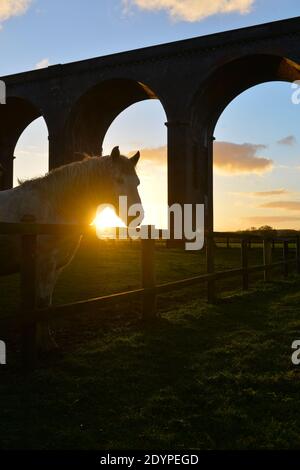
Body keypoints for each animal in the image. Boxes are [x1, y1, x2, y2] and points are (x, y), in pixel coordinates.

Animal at [0, 147, 142, 348]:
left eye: (137, 182)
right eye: (119, 179)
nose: (137, 215)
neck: (53, 206)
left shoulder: (55, 267)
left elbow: (46, 303)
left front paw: (46, 340)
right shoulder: (44, 264)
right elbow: (42, 303)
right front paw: (43, 344)